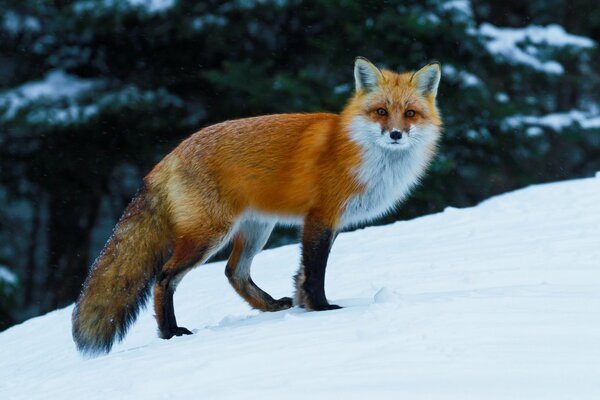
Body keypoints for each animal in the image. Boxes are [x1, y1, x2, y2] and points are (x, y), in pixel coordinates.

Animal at [72, 56, 442, 354]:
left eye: (410, 114)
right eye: (381, 112)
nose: (395, 134)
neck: (362, 154)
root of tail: (169, 156)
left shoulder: (329, 222)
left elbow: (302, 273)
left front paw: (304, 306)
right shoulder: (320, 217)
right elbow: (315, 272)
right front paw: (322, 310)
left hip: (256, 229)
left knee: (233, 272)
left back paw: (271, 307)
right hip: (210, 235)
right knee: (164, 279)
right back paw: (171, 332)